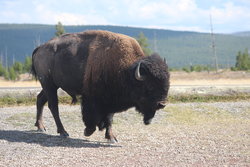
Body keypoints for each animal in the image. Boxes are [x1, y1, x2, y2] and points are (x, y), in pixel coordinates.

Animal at [30, 29, 169, 142]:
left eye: (166, 85)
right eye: (149, 87)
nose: (161, 104)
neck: (126, 71)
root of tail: (40, 48)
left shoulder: (111, 101)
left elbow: (110, 118)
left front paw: (111, 137)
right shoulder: (92, 99)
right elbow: (92, 116)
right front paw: (88, 131)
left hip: (51, 86)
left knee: (40, 99)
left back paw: (41, 127)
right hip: (49, 84)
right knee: (53, 106)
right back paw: (63, 132)